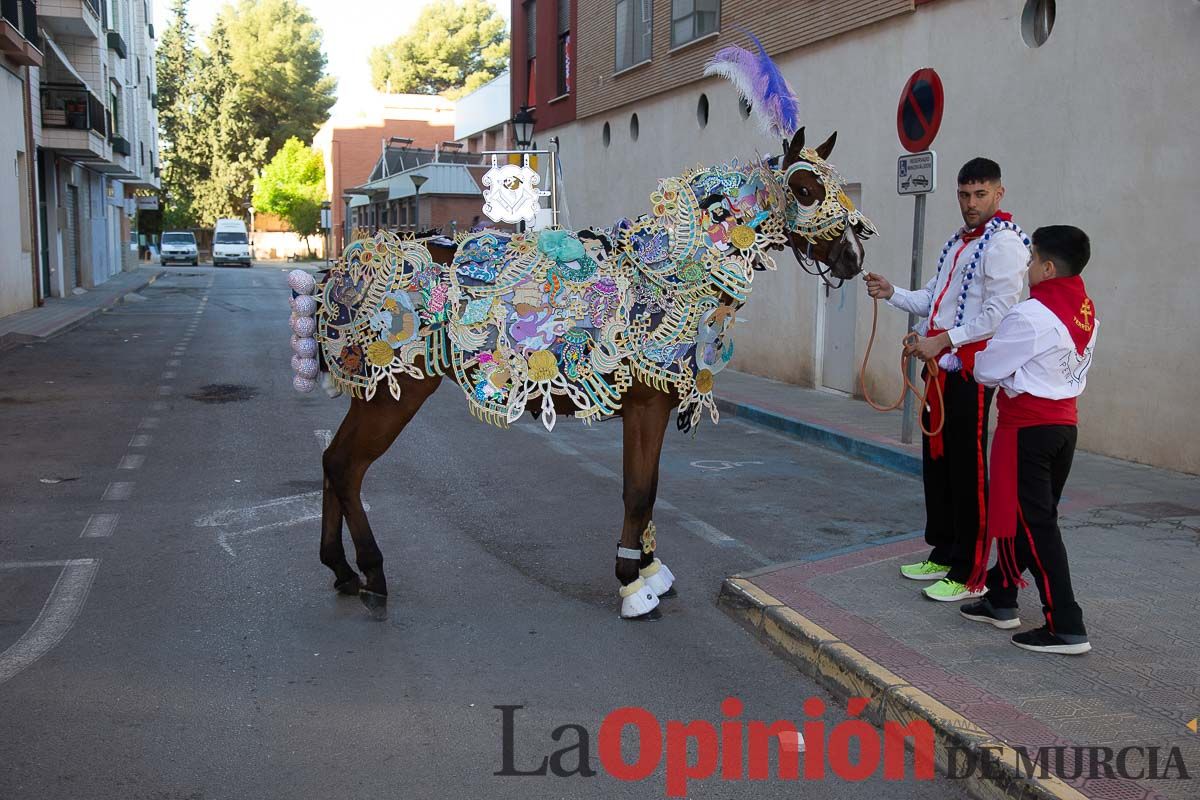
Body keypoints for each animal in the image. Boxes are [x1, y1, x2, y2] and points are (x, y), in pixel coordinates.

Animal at [285, 40, 878, 623]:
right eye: (805, 188)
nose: (853, 256)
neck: (669, 274)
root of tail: (343, 267)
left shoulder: (651, 406)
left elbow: (646, 489)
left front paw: (647, 569)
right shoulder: (647, 404)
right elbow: (639, 491)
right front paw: (632, 584)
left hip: (374, 393)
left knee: (333, 462)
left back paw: (341, 569)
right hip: (394, 390)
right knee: (346, 466)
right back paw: (372, 572)